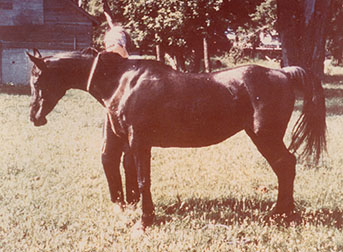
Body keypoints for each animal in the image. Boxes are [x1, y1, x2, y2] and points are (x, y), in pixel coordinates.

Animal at [27, 49, 328, 228]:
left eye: (37, 80)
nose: (34, 116)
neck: (122, 82)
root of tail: (283, 72)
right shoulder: (129, 142)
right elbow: (129, 173)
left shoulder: (140, 142)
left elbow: (142, 180)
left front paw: (146, 219)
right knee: (286, 166)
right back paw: (285, 212)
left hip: (265, 137)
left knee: (285, 165)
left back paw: (280, 213)